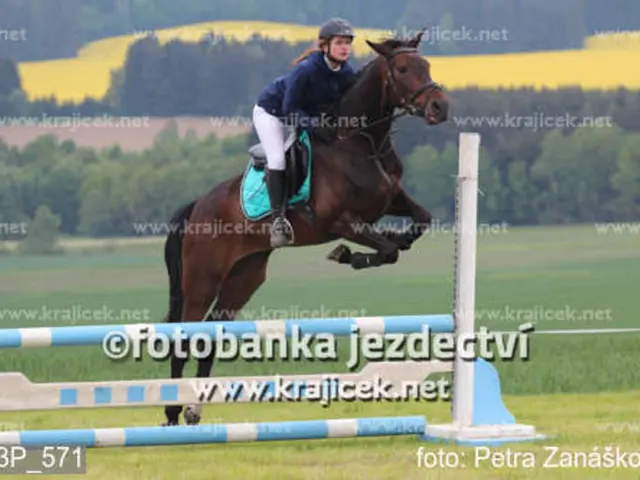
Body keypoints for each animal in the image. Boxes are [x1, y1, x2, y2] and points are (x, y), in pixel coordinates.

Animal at [161, 29, 449, 426]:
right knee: (185, 337)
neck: (360, 142)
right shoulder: (339, 221)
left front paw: (395, 238)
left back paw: (193, 409)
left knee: (210, 337)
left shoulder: (391, 200)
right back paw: (173, 410)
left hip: (243, 278)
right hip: (202, 280)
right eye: (403, 69)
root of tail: (198, 206)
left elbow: (420, 221)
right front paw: (348, 255)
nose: (440, 107)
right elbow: (385, 250)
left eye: (427, 65)